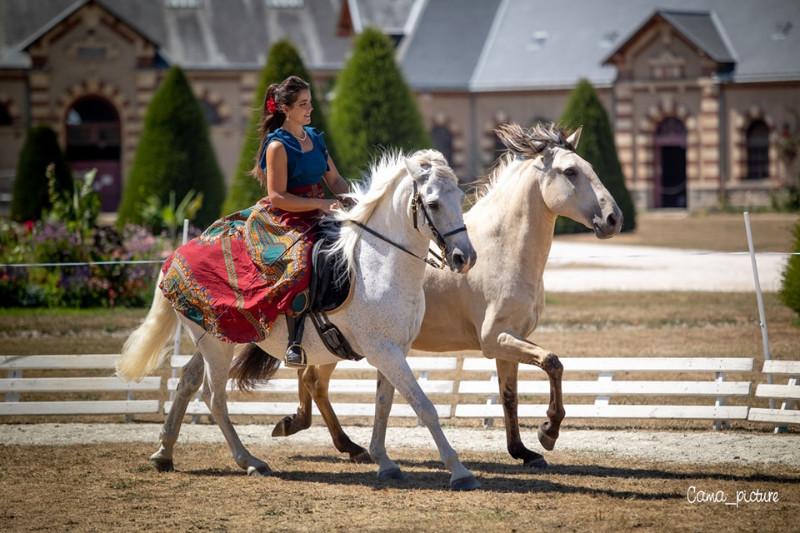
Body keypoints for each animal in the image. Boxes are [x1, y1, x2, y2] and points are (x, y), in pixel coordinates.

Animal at [117, 150, 482, 490]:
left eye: (459, 197)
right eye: (433, 203)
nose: (465, 257)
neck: (378, 265)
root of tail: (174, 258)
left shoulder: (394, 351)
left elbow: (383, 405)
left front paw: (384, 461)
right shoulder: (384, 351)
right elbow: (424, 406)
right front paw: (460, 472)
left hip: (219, 338)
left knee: (188, 382)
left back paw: (163, 453)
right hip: (218, 347)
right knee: (213, 397)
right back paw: (250, 461)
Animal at [266, 121, 620, 466]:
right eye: (570, 171)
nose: (614, 218)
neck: (502, 248)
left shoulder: (510, 339)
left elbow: (510, 395)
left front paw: (523, 451)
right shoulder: (494, 339)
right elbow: (551, 362)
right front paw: (549, 430)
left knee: (311, 378)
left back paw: (320, 433)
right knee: (313, 380)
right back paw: (334, 439)